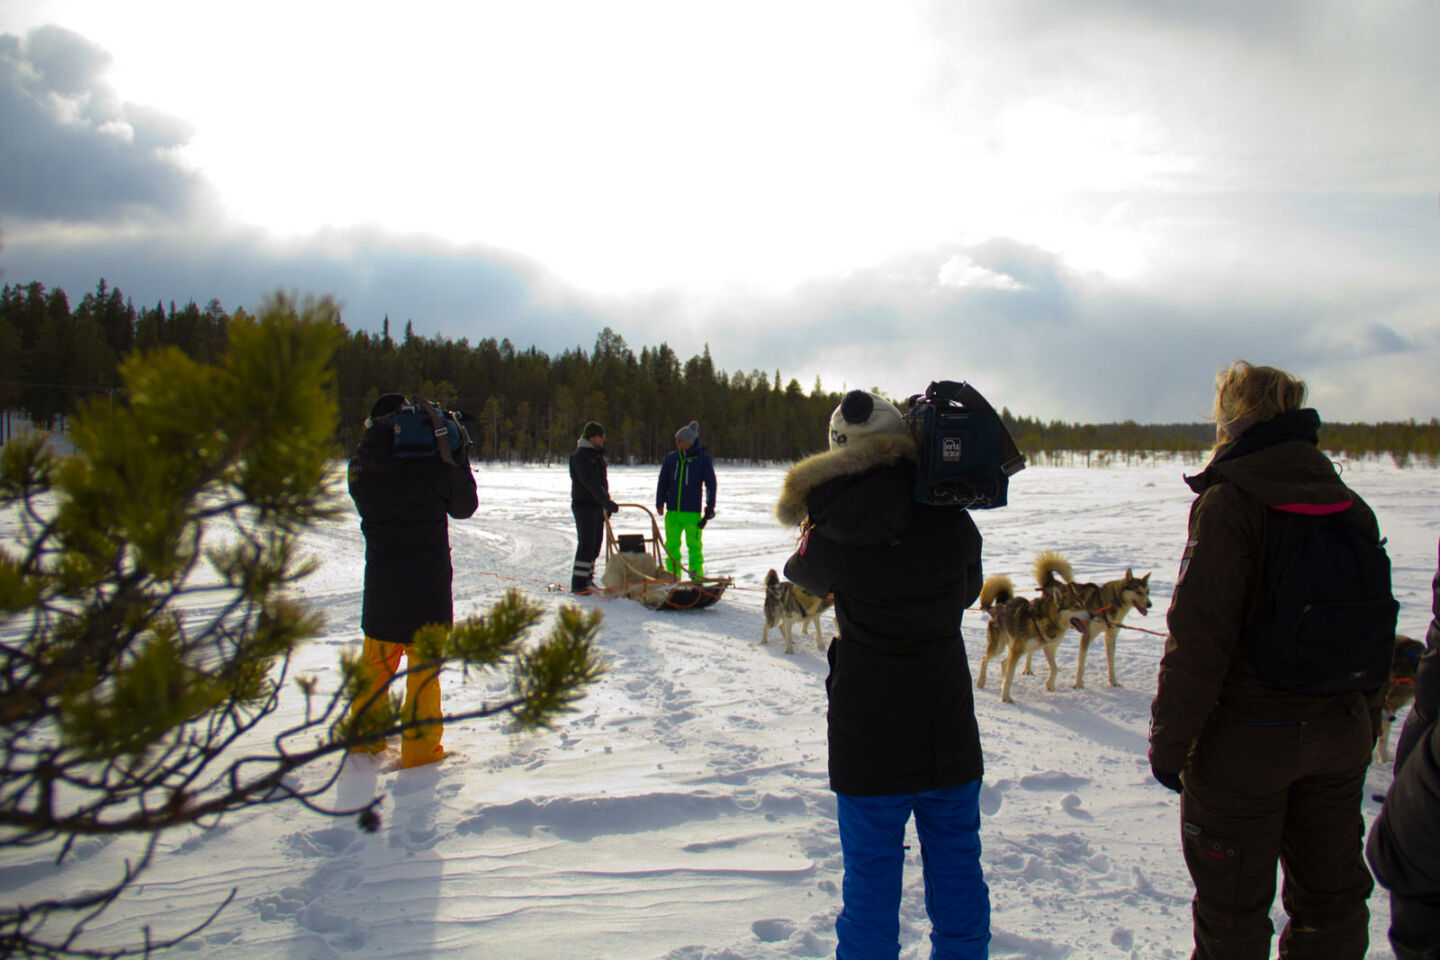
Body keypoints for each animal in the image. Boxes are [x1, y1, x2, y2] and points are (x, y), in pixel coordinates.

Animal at [979, 552, 1088, 702]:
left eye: (1083, 604)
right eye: (1076, 607)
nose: (1092, 615)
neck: (1043, 619)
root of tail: (1001, 605)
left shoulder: (1047, 647)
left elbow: (1054, 668)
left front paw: (1050, 685)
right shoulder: (1018, 651)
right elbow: (1010, 677)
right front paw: (1005, 697)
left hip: (1018, 649)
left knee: (1003, 662)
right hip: (1000, 647)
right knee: (985, 659)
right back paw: (981, 682)